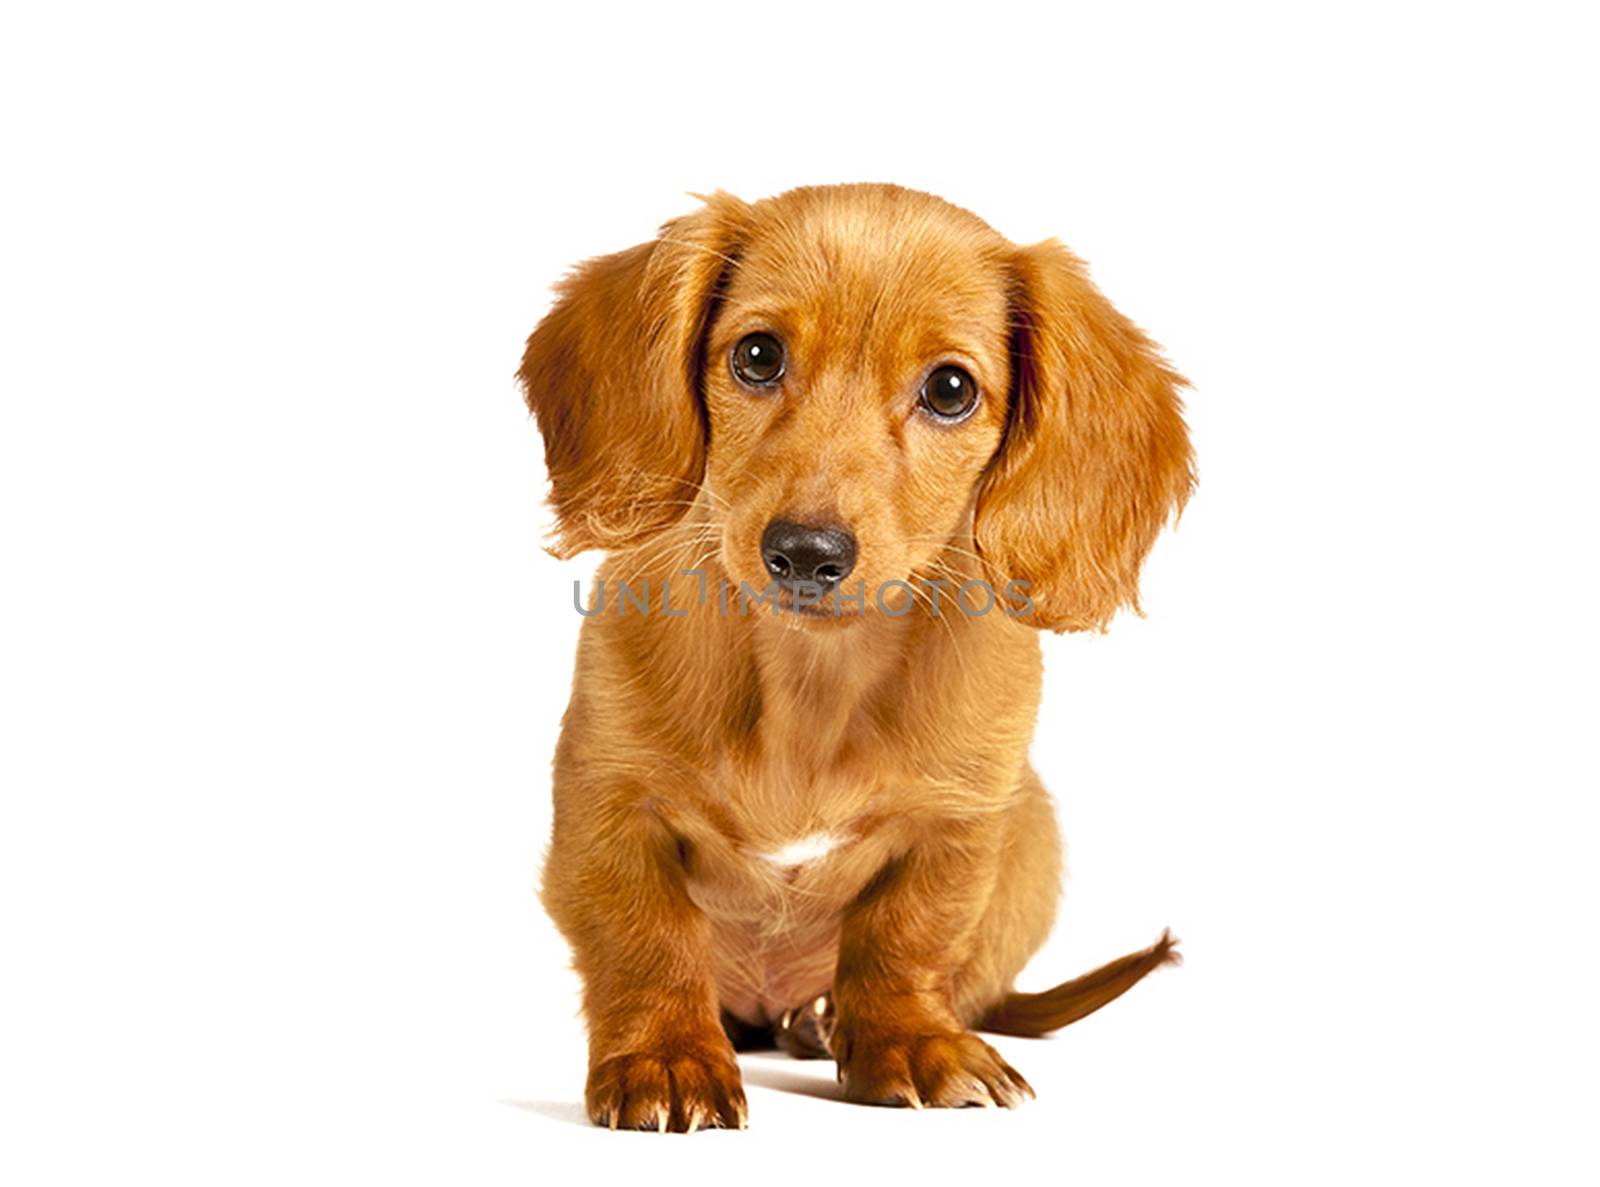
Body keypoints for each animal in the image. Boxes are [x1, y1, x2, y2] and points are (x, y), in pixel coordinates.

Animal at [518, 183, 1196, 1132]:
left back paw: (824, 1017)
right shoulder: (608, 801)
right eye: (757, 355)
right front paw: (666, 1055)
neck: (815, 675)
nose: (805, 552)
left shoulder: (961, 820)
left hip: (1036, 828)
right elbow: (646, 937)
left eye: (949, 388)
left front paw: (911, 1041)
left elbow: (905, 939)